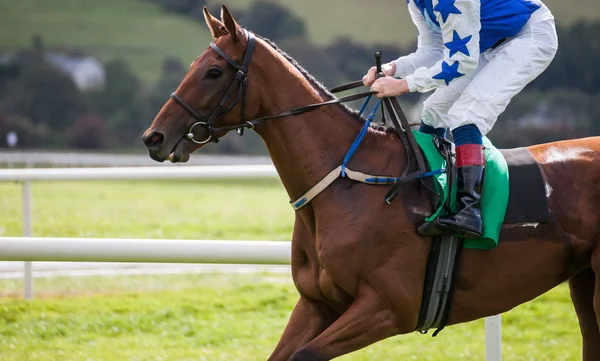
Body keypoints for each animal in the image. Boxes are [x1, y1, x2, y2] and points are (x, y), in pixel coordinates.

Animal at [143, 5, 600, 360]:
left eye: (213, 71)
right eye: (193, 67)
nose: (154, 138)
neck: (350, 182)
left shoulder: (388, 308)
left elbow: (306, 354)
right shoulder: (317, 303)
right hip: (584, 285)